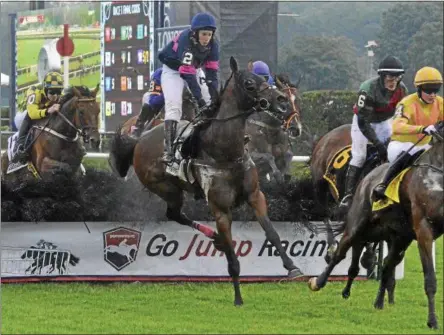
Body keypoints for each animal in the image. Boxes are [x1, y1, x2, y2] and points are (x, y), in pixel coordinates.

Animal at [109, 57, 306, 308]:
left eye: (266, 80)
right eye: (249, 83)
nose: (281, 100)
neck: (225, 150)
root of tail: (138, 140)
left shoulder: (255, 195)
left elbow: (272, 233)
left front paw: (292, 267)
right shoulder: (220, 209)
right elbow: (233, 259)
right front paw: (238, 298)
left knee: (177, 215)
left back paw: (217, 239)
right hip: (166, 188)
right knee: (174, 214)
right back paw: (217, 238)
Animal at [308, 124, 444, 330]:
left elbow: (386, 263)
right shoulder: (423, 229)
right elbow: (429, 278)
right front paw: (432, 321)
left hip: (398, 235)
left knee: (385, 262)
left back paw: (376, 299)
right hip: (345, 210)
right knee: (340, 247)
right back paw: (320, 279)